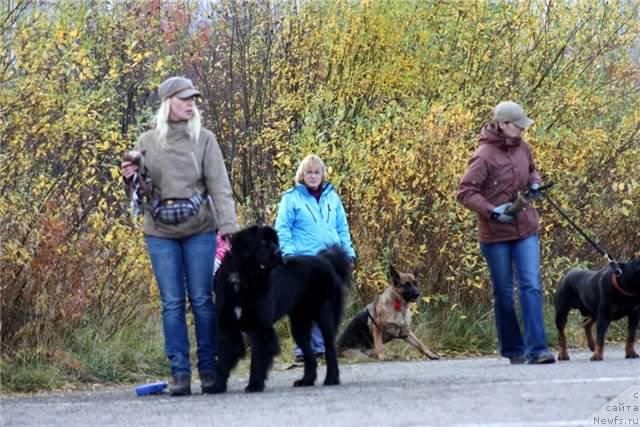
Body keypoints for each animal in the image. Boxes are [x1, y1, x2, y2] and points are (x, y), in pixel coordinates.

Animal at [211, 226, 350, 392]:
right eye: (262, 241)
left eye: (275, 241)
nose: (279, 252)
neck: (244, 277)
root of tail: (326, 260)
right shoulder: (227, 326)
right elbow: (223, 360)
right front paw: (217, 386)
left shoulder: (260, 328)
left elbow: (257, 360)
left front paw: (254, 385)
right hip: (299, 323)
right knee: (309, 354)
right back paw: (306, 380)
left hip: (325, 315)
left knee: (330, 348)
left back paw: (331, 378)